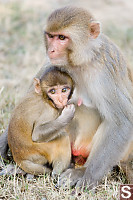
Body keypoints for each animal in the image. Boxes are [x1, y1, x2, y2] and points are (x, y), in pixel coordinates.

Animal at [43, 6, 132, 187]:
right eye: (51, 36)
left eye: (62, 37)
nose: (51, 50)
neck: (82, 60)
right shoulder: (53, 63)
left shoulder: (104, 73)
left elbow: (121, 122)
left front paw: (88, 177)